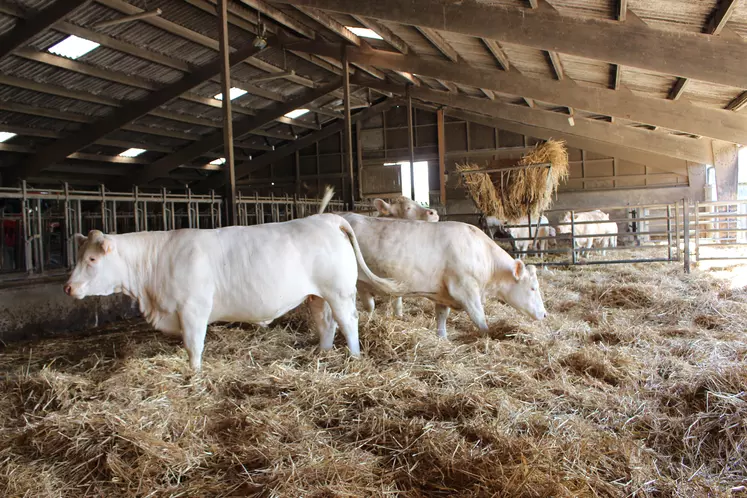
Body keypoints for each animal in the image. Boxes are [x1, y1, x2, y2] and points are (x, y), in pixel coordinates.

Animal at [63, 216, 400, 372]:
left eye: (91, 259)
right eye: (78, 256)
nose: (68, 287)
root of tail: (327, 218)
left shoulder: (193, 309)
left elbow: (193, 346)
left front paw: (195, 373)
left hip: (339, 291)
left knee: (349, 322)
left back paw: (354, 357)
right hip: (317, 295)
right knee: (326, 324)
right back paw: (323, 353)